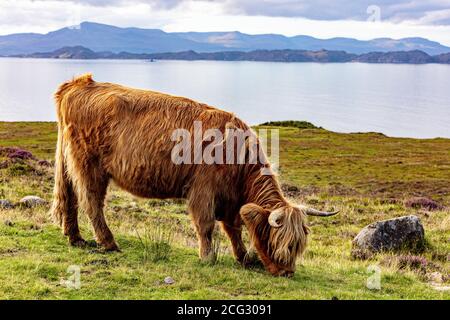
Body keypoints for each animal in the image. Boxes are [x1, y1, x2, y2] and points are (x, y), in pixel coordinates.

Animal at [50, 74, 338, 276]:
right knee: (91, 202)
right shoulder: (203, 190)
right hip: (89, 165)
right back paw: (108, 242)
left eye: (299, 245)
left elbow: (233, 228)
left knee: (69, 197)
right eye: (281, 242)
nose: (287, 273)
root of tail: (79, 83)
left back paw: (75, 238)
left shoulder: (231, 200)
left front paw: (243, 257)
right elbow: (206, 225)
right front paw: (208, 257)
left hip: (68, 161)